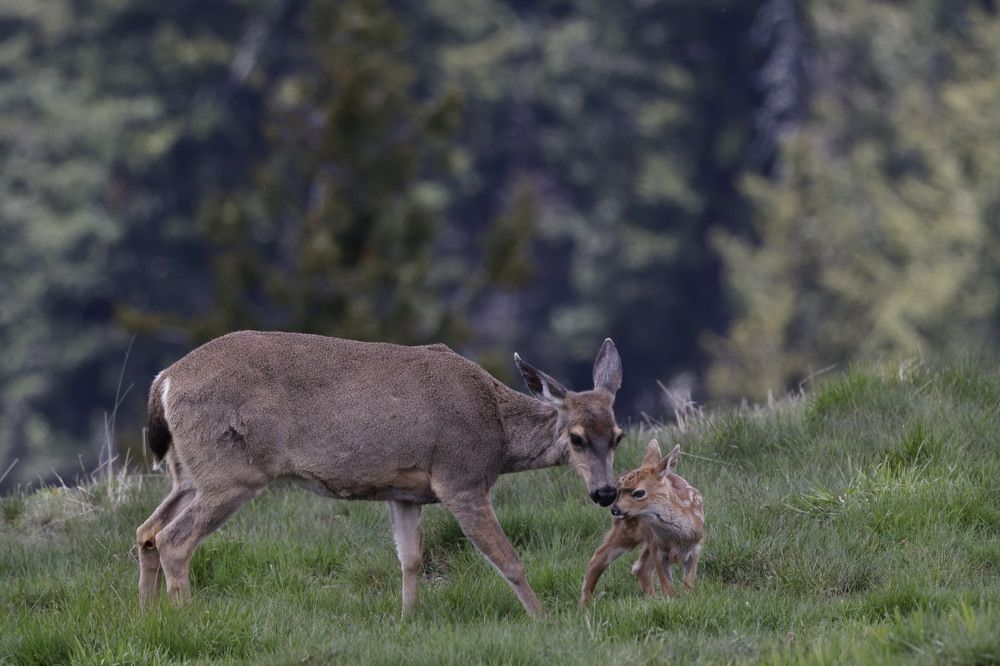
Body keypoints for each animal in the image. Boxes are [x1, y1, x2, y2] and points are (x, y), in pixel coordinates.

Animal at [136, 330, 625, 617]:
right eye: (577, 438)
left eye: (617, 436)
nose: (605, 492)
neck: (498, 433)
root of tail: (163, 382)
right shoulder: (461, 478)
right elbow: (508, 560)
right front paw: (542, 619)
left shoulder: (404, 492)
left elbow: (410, 560)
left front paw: (408, 620)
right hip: (232, 473)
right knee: (174, 539)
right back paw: (185, 617)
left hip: (188, 473)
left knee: (147, 530)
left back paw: (148, 615)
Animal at [579, 439, 704, 607]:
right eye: (620, 490)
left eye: (639, 492)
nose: (615, 510)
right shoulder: (659, 550)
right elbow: (668, 588)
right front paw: (670, 602)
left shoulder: (696, 547)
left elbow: (688, 584)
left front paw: (686, 600)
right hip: (628, 530)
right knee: (598, 557)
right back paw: (583, 606)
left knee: (639, 567)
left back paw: (652, 599)